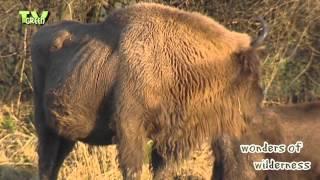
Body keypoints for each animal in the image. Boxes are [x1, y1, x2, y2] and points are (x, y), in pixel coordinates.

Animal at [31, 2, 268, 180]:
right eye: (251, 72)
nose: (258, 106)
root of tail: (40, 34)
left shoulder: (169, 138)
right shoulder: (130, 129)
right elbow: (133, 169)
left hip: (67, 133)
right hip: (45, 125)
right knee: (46, 161)